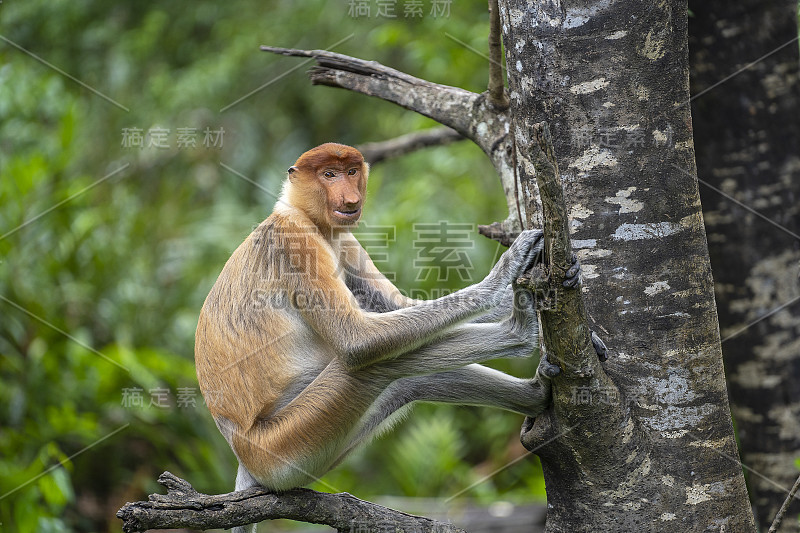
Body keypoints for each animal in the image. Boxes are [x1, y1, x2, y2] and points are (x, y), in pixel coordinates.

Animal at [197, 142, 604, 532]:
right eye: (328, 174)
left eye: (351, 171)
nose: (349, 197)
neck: (307, 217)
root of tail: (242, 451)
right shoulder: (296, 242)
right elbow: (358, 340)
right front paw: (507, 272)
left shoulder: (345, 242)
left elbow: (397, 307)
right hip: (283, 446)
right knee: (373, 368)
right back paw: (520, 333)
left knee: (409, 380)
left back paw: (536, 391)